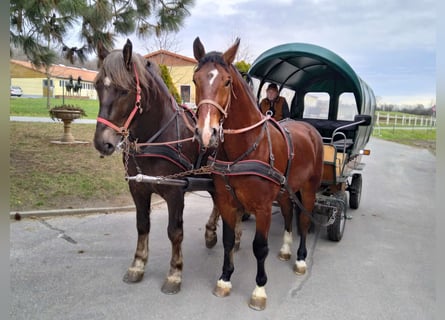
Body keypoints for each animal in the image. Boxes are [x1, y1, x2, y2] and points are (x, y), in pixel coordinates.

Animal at [93, 39, 225, 296]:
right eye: (96, 87)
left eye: (124, 90)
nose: (102, 143)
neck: (155, 138)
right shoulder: (138, 189)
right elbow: (142, 225)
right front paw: (137, 265)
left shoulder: (175, 192)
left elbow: (175, 232)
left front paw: (174, 273)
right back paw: (211, 233)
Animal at [191, 37, 322, 310]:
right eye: (196, 79)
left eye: (227, 81)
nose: (206, 133)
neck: (247, 146)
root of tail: (309, 128)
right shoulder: (227, 202)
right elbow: (228, 240)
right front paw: (225, 279)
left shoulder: (262, 207)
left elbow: (259, 247)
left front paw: (259, 289)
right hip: (285, 189)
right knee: (288, 212)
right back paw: (285, 249)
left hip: (309, 188)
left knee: (304, 221)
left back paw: (300, 258)